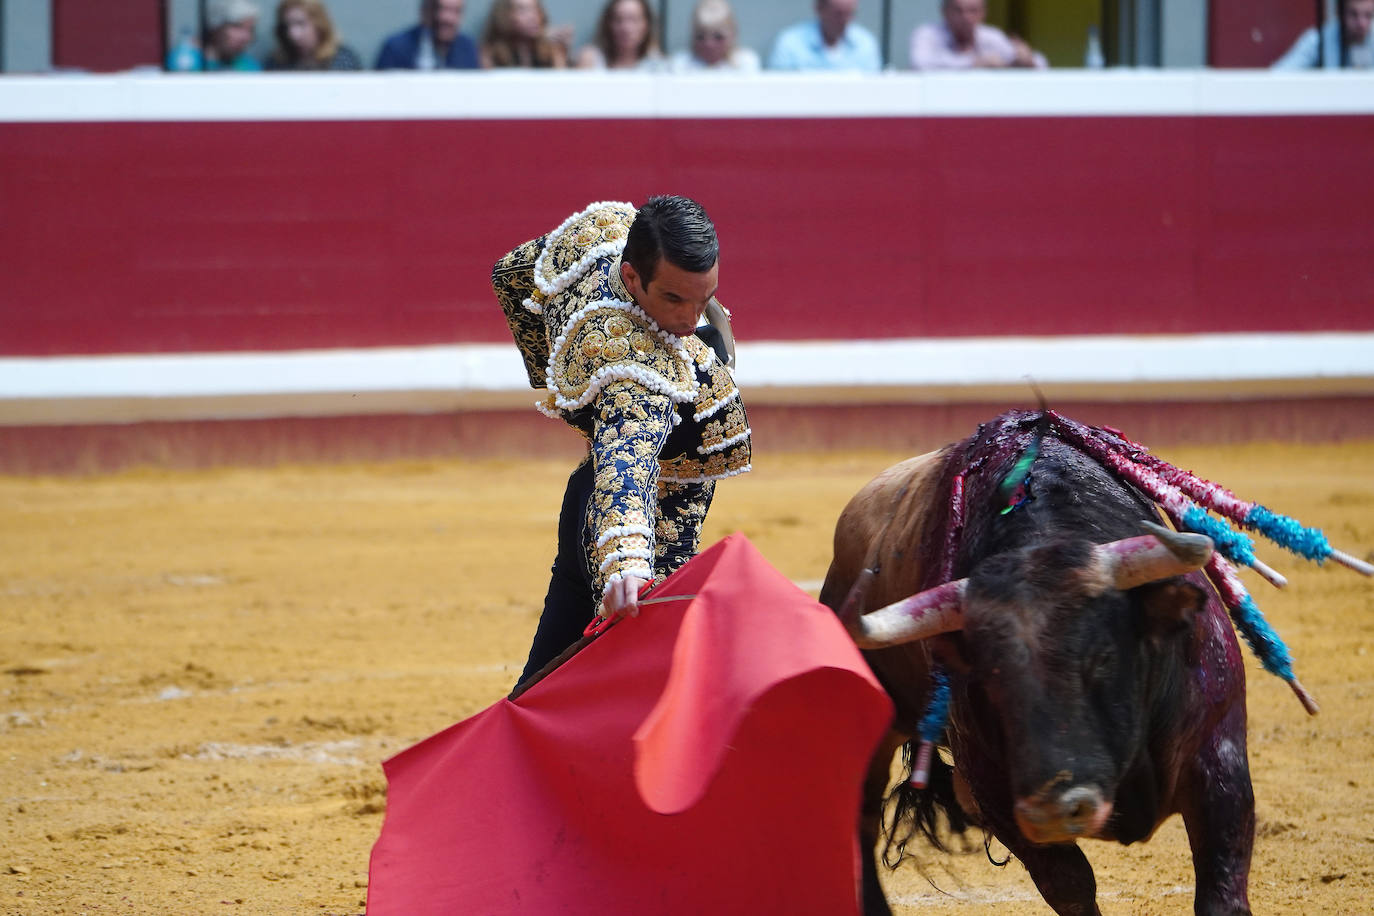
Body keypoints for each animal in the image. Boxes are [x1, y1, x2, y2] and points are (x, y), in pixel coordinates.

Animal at [818, 414, 1258, 916]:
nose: (1055, 811)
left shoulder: (1220, 760)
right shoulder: (997, 792)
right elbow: (1070, 885)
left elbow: (1221, 890)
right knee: (861, 821)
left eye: (1105, 657)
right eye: (990, 677)